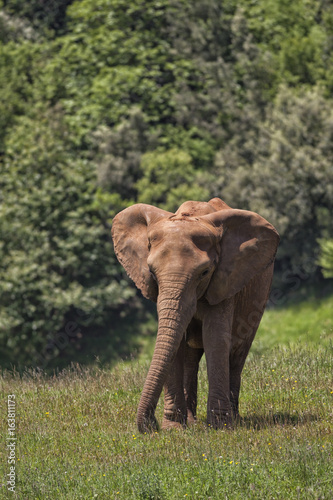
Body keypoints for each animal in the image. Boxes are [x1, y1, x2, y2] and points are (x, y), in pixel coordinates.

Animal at [111, 197, 278, 432]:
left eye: (205, 272)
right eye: (151, 272)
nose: (151, 425)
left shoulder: (225, 281)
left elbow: (215, 338)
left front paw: (220, 427)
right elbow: (175, 343)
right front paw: (174, 428)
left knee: (237, 353)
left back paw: (234, 419)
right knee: (191, 359)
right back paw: (191, 421)